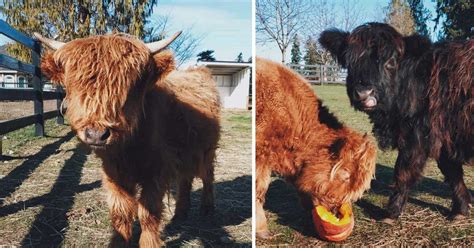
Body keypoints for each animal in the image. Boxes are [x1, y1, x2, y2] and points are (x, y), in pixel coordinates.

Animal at [34, 32, 221, 246]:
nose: (96, 135)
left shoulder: (157, 172)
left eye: (129, 86)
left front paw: (149, 243)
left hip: (206, 149)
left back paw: (207, 209)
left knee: (207, 175)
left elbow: (148, 214)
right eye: (75, 84)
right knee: (186, 177)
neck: (128, 148)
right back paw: (180, 213)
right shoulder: (114, 173)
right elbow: (121, 214)